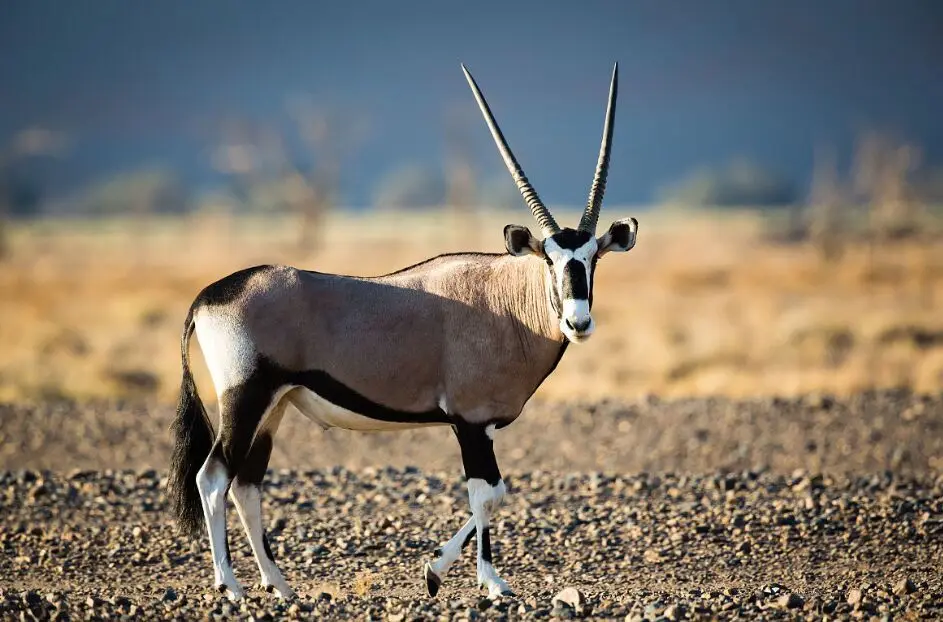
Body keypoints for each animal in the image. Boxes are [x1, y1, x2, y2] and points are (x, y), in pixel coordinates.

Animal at [168, 63, 638, 600]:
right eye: (550, 260)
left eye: (593, 258)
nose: (578, 321)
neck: (507, 300)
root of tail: (208, 296)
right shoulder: (470, 422)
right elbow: (487, 494)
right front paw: (482, 580)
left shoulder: (480, 427)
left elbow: (494, 492)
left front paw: (441, 572)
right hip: (245, 398)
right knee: (213, 477)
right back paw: (231, 585)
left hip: (274, 406)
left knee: (246, 483)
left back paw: (279, 586)